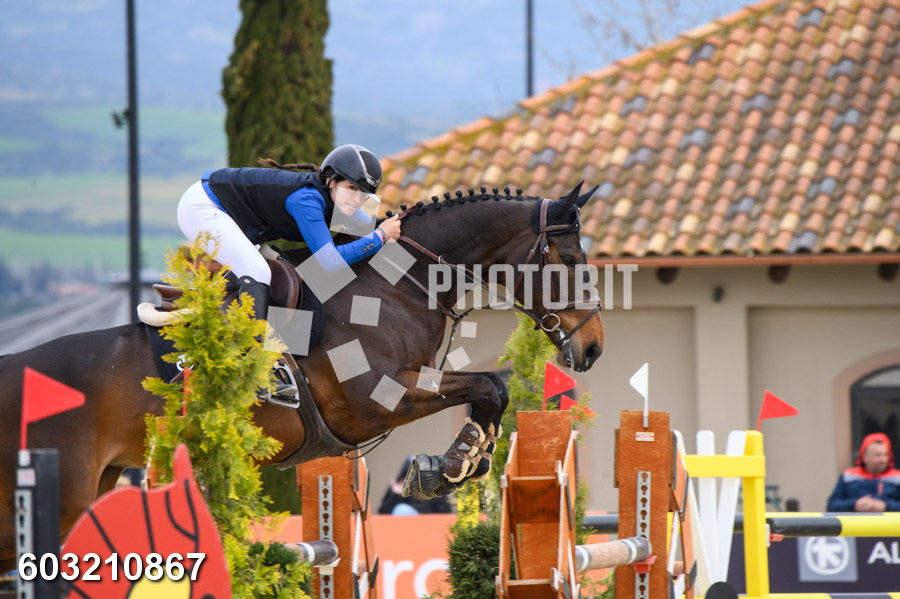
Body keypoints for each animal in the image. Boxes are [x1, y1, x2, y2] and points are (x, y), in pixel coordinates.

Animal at [0, 183, 604, 571]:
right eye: (571, 260)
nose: (594, 347)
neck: (398, 289)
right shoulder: (376, 402)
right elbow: (488, 386)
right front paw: (451, 465)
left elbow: (491, 392)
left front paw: (453, 464)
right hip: (67, 492)